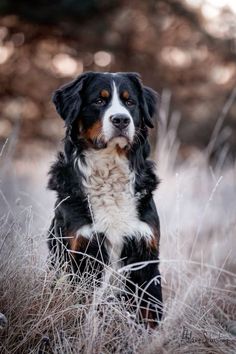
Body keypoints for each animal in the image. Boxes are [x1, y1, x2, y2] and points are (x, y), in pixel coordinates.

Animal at [47, 71, 162, 326]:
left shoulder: (146, 257)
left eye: (130, 102)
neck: (110, 170)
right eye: (99, 101)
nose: (121, 120)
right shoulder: (80, 252)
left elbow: (150, 315)